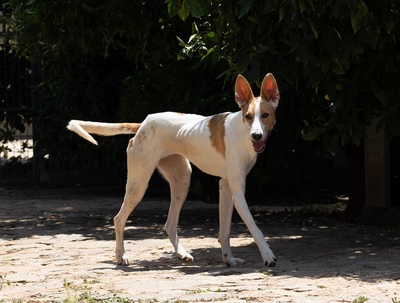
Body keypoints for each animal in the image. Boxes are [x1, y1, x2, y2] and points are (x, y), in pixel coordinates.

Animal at [67, 72, 280, 268]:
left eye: (265, 115)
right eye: (248, 116)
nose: (256, 136)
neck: (243, 133)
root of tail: (143, 123)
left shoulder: (226, 188)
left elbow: (225, 231)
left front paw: (229, 259)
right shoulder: (237, 192)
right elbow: (254, 227)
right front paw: (267, 255)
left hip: (182, 179)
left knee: (169, 224)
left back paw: (181, 254)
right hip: (139, 184)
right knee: (119, 219)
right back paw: (121, 256)